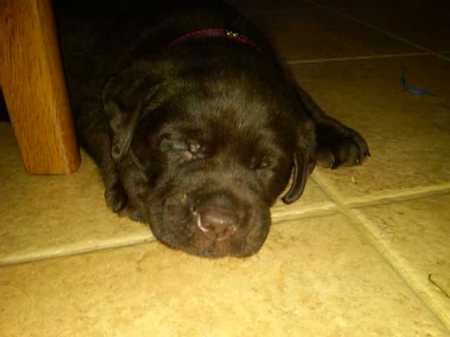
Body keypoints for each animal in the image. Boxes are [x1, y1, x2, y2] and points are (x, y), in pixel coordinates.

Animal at [57, 0, 370, 258]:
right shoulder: (89, 100)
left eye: (265, 164)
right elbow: (108, 139)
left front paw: (337, 134)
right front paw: (127, 183)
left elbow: (306, 101)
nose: (219, 224)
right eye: (187, 147)